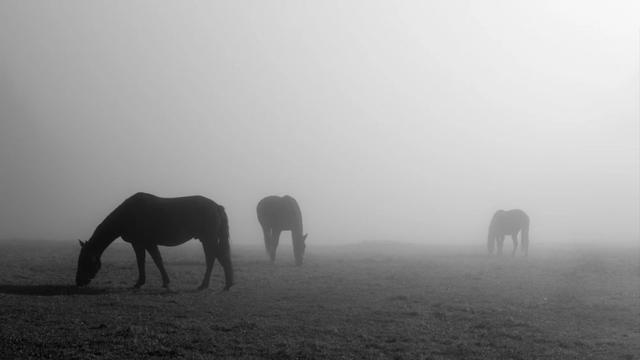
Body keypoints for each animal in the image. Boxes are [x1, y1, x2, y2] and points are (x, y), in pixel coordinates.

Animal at [75, 193, 232, 292]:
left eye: (84, 261)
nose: (78, 282)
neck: (127, 215)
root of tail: (217, 206)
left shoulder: (142, 243)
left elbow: (149, 261)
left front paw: (142, 283)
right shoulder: (144, 244)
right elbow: (151, 261)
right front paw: (160, 282)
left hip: (208, 239)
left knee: (213, 258)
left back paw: (210, 285)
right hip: (208, 240)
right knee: (218, 257)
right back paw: (222, 284)